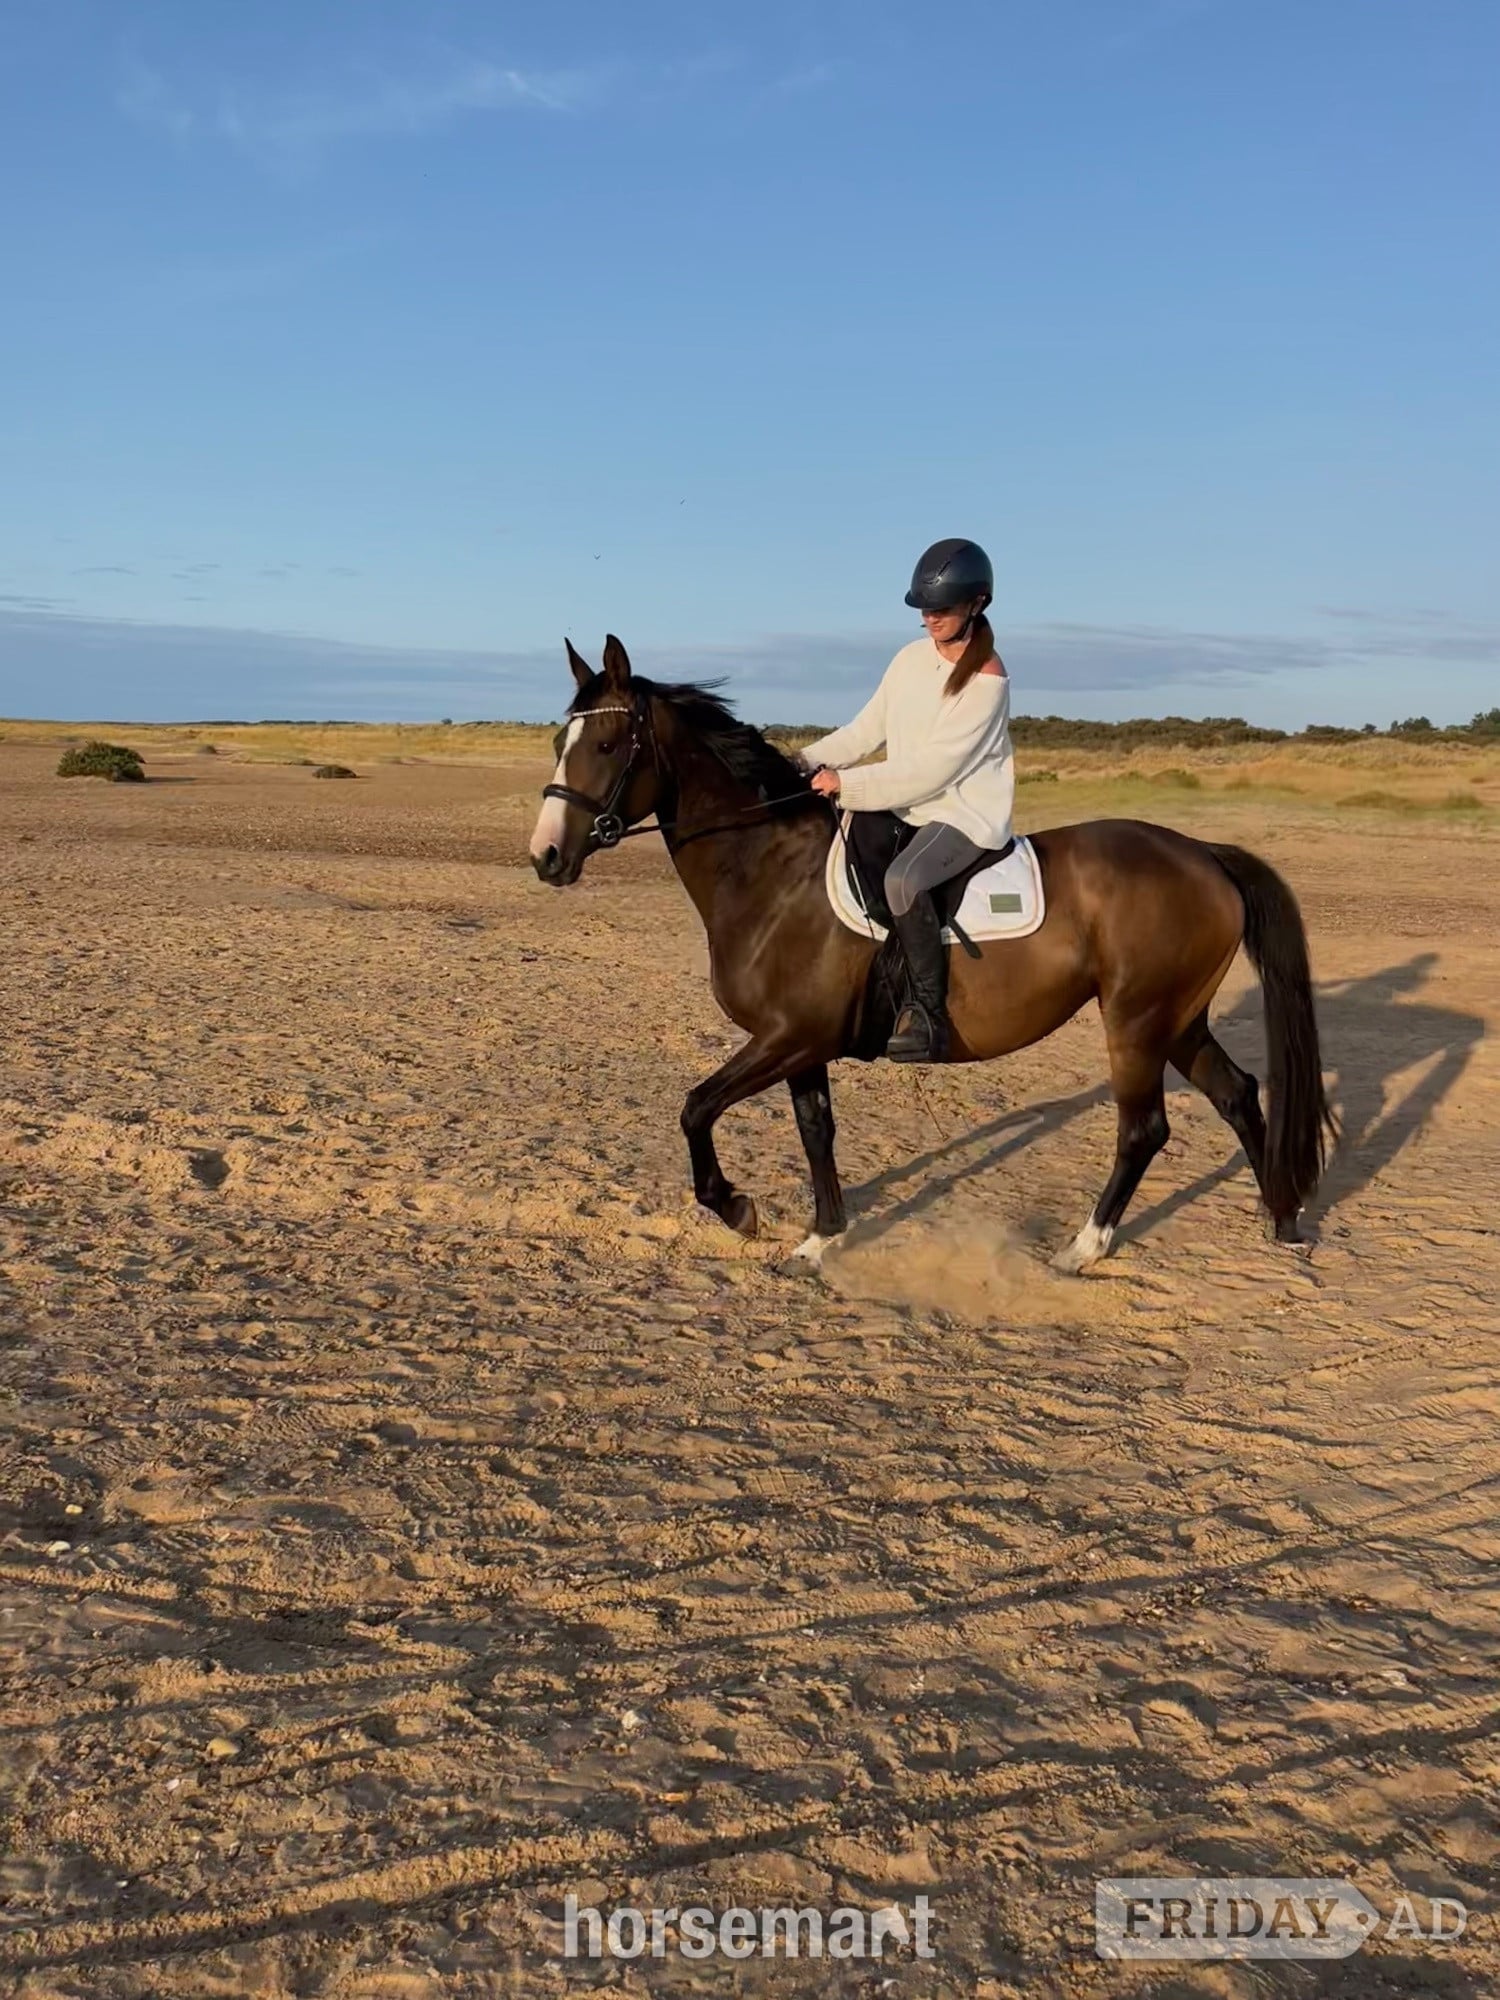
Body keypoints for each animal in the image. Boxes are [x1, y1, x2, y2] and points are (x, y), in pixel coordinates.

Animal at [529, 635, 1335, 1274]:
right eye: (559, 745)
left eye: (607, 746)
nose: (546, 857)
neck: (771, 871)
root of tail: (1202, 854)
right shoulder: (798, 1043)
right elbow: (815, 1131)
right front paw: (821, 1239)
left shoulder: (789, 1038)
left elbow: (696, 1108)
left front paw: (737, 1209)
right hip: (1178, 1020)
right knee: (1238, 1094)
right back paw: (1283, 1218)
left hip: (1137, 1023)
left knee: (1144, 1129)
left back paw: (1084, 1247)